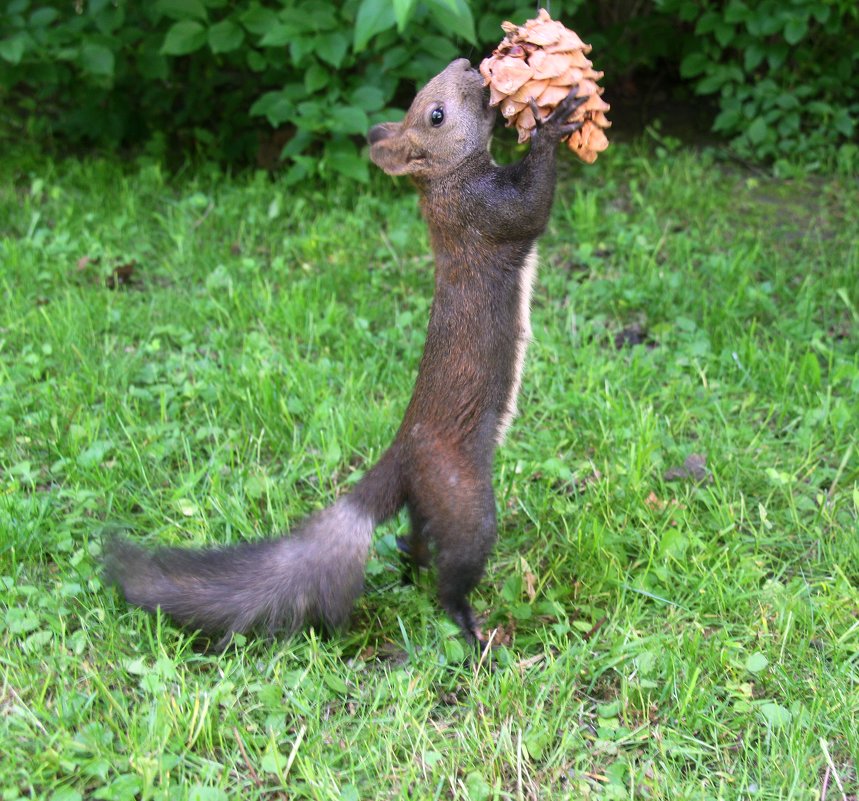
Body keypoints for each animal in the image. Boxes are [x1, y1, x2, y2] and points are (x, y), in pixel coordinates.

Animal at [102, 59, 584, 648]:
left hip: (431, 503)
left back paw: (410, 565)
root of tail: (402, 457)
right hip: (462, 499)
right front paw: (552, 126)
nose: (469, 65)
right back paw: (469, 627)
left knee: (414, 539)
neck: (443, 186)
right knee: (452, 574)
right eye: (437, 114)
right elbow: (532, 207)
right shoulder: (486, 215)